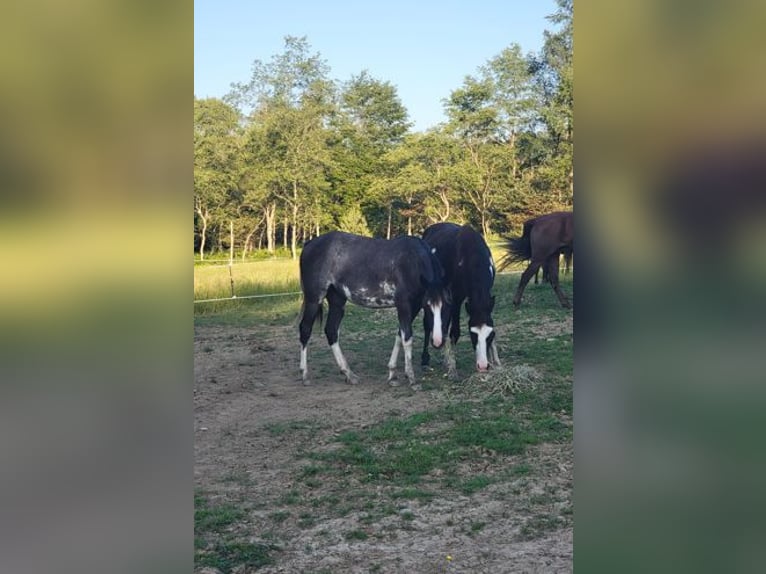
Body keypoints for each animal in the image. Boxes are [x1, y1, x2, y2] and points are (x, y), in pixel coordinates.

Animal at [298, 231, 450, 389]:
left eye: (447, 305)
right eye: (428, 306)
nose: (438, 341)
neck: (412, 262)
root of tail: (309, 244)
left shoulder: (413, 307)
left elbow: (399, 336)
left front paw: (392, 375)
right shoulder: (404, 306)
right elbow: (407, 338)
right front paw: (411, 378)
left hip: (337, 301)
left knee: (331, 331)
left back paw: (349, 374)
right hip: (314, 299)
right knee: (305, 329)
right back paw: (305, 374)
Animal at [420, 223, 501, 378]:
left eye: (490, 335)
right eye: (473, 335)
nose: (483, 366)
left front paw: (495, 361)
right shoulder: (455, 299)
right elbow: (454, 332)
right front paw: (452, 367)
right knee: (429, 324)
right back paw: (426, 360)